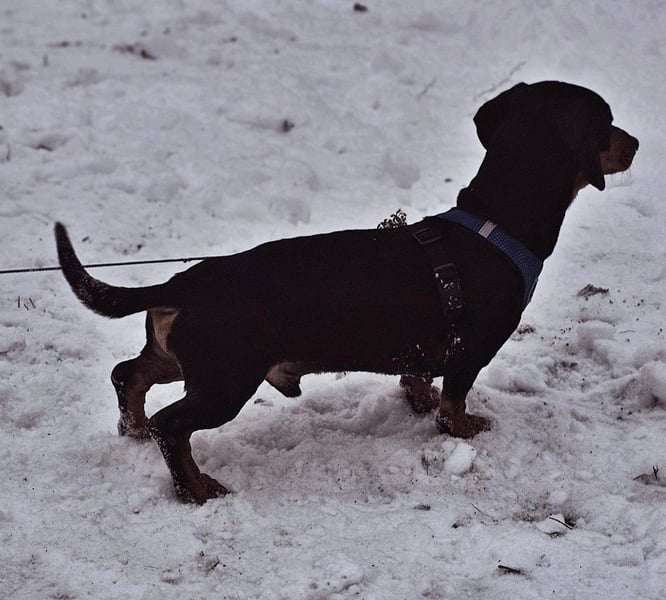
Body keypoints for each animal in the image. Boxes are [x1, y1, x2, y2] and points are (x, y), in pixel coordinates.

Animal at [55, 81, 638, 503]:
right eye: (607, 123)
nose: (634, 143)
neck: (494, 222)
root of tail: (181, 282)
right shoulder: (471, 351)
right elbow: (455, 401)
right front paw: (464, 427)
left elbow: (419, 379)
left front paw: (420, 401)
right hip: (226, 380)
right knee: (170, 425)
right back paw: (195, 488)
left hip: (185, 361)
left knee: (128, 375)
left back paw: (131, 428)